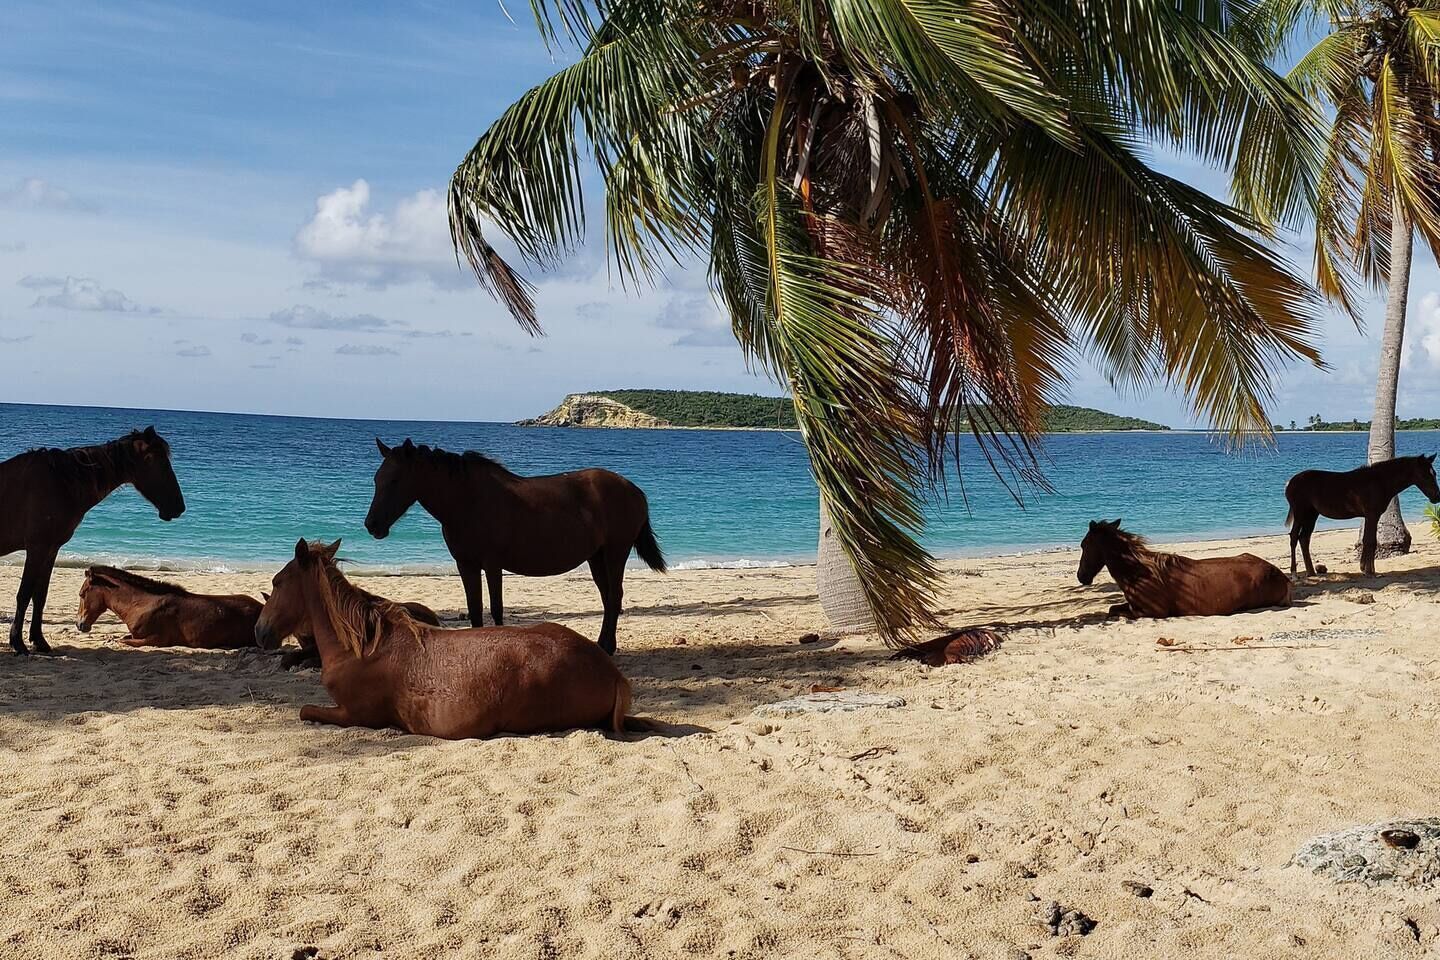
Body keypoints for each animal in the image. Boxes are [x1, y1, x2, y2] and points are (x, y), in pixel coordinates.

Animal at [1, 427, 184, 655]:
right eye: (153, 459)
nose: (178, 506)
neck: (60, 484)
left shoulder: (50, 550)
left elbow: (40, 596)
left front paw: (39, 641)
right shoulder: (37, 548)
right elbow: (24, 595)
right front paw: (17, 643)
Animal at [363, 438, 666, 654]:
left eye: (395, 480)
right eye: (377, 479)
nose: (372, 525)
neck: (468, 501)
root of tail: (634, 490)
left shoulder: (492, 564)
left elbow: (496, 608)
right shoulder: (466, 565)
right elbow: (475, 608)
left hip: (616, 553)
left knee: (614, 597)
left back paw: (607, 648)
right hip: (597, 557)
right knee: (607, 598)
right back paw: (602, 645)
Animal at [1077, 519, 1292, 618]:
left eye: (1084, 544)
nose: (1081, 577)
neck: (1138, 574)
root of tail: (1282, 577)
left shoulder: (1151, 612)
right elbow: (1112, 608)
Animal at [1284, 454, 1440, 577]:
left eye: (1434, 473)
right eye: (1425, 475)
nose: (1436, 497)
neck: (1380, 481)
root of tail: (1290, 482)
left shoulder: (1371, 516)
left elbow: (1368, 540)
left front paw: (1366, 569)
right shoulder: (1372, 515)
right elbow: (1370, 541)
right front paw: (1369, 571)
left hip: (1311, 515)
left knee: (1304, 539)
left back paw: (1311, 572)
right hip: (1300, 513)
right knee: (1294, 537)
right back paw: (1294, 574)